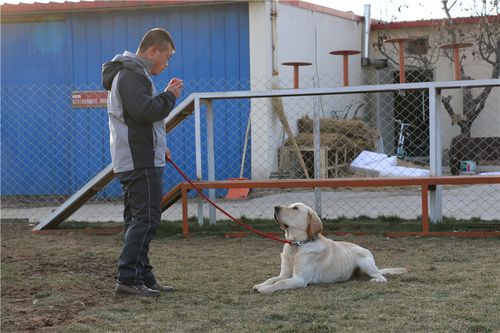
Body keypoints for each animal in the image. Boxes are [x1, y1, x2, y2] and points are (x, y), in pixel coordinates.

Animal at [254, 202, 406, 294]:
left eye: (295, 208)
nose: (275, 207)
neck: (297, 245)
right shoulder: (285, 274)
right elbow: (273, 279)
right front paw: (261, 285)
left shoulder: (299, 279)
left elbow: (279, 283)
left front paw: (265, 289)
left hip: (365, 262)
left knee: (382, 277)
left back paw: (376, 279)